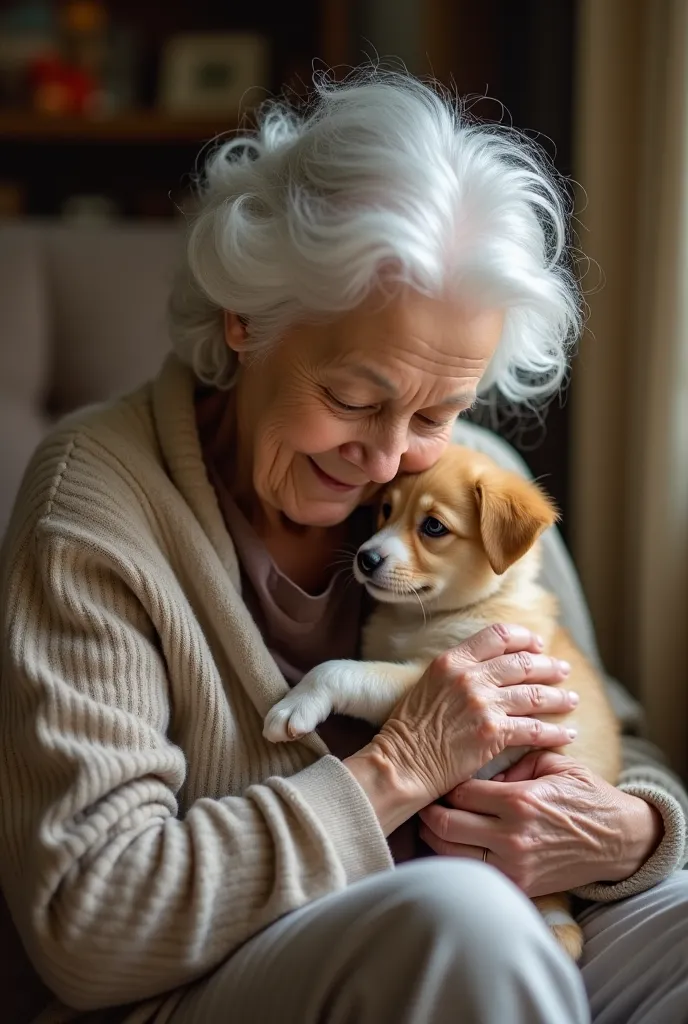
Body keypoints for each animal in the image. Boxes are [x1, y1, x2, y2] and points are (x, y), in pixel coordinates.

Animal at [264, 442, 622, 958]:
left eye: (433, 527)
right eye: (386, 510)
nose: (366, 558)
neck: (431, 616)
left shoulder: (433, 675)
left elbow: (340, 670)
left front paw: (296, 704)